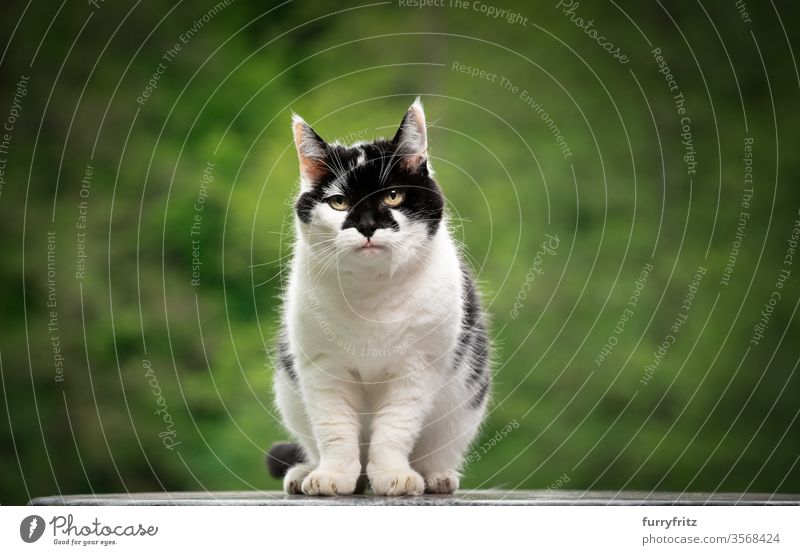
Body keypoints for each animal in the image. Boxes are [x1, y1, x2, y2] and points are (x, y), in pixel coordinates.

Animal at [268, 99, 490, 496]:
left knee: (437, 450)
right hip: (290, 393)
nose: (368, 226)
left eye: (393, 195)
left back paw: (435, 476)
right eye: (339, 202)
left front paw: (394, 476)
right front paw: (332, 476)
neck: (372, 297)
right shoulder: (323, 369)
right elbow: (335, 429)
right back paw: (307, 473)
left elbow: (394, 429)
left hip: (464, 404)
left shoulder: (415, 370)